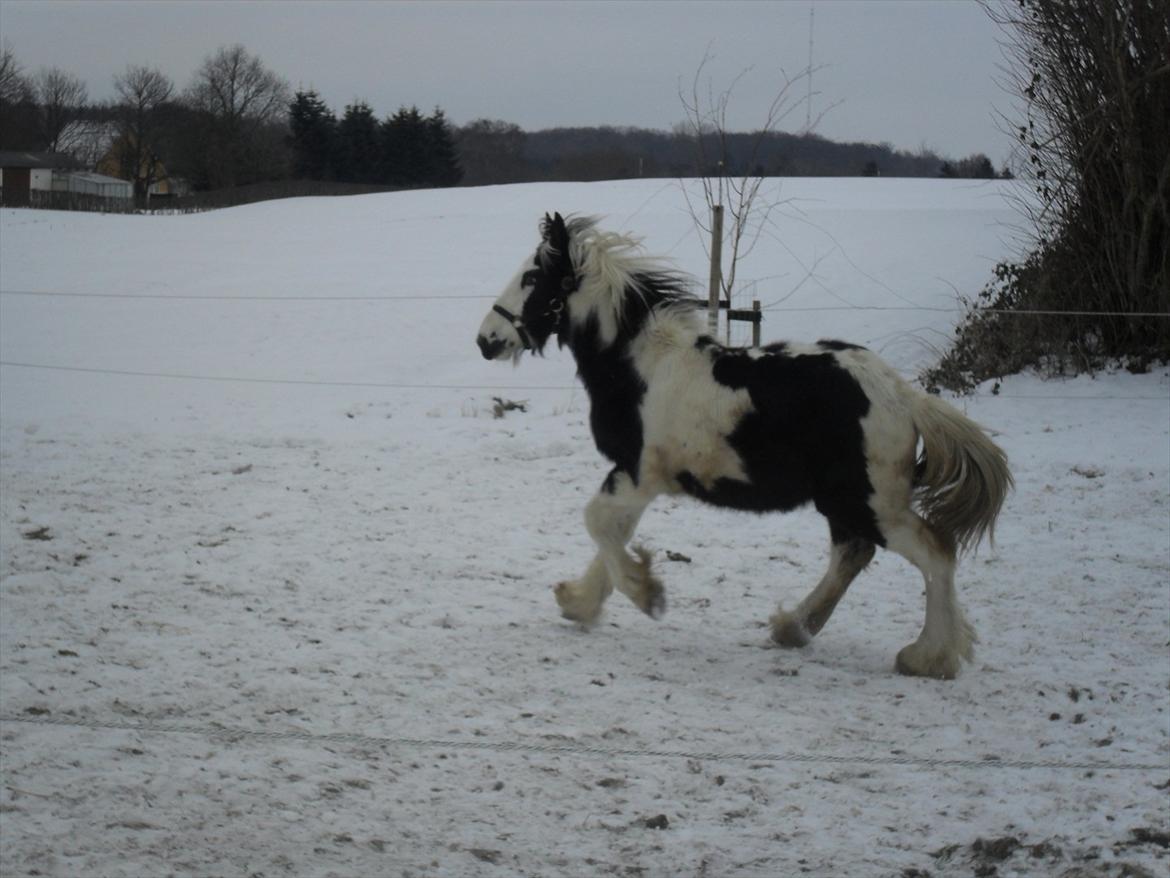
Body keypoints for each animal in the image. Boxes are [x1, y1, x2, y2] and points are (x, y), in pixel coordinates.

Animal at [475, 215, 1015, 678]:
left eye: (532, 277)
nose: (486, 340)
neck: (641, 367)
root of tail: (904, 396)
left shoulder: (638, 472)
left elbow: (598, 523)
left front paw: (646, 594)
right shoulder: (641, 478)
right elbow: (613, 530)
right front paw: (581, 601)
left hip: (872, 502)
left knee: (933, 551)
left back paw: (927, 658)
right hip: (847, 502)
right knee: (853, 554)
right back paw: (793, 628)